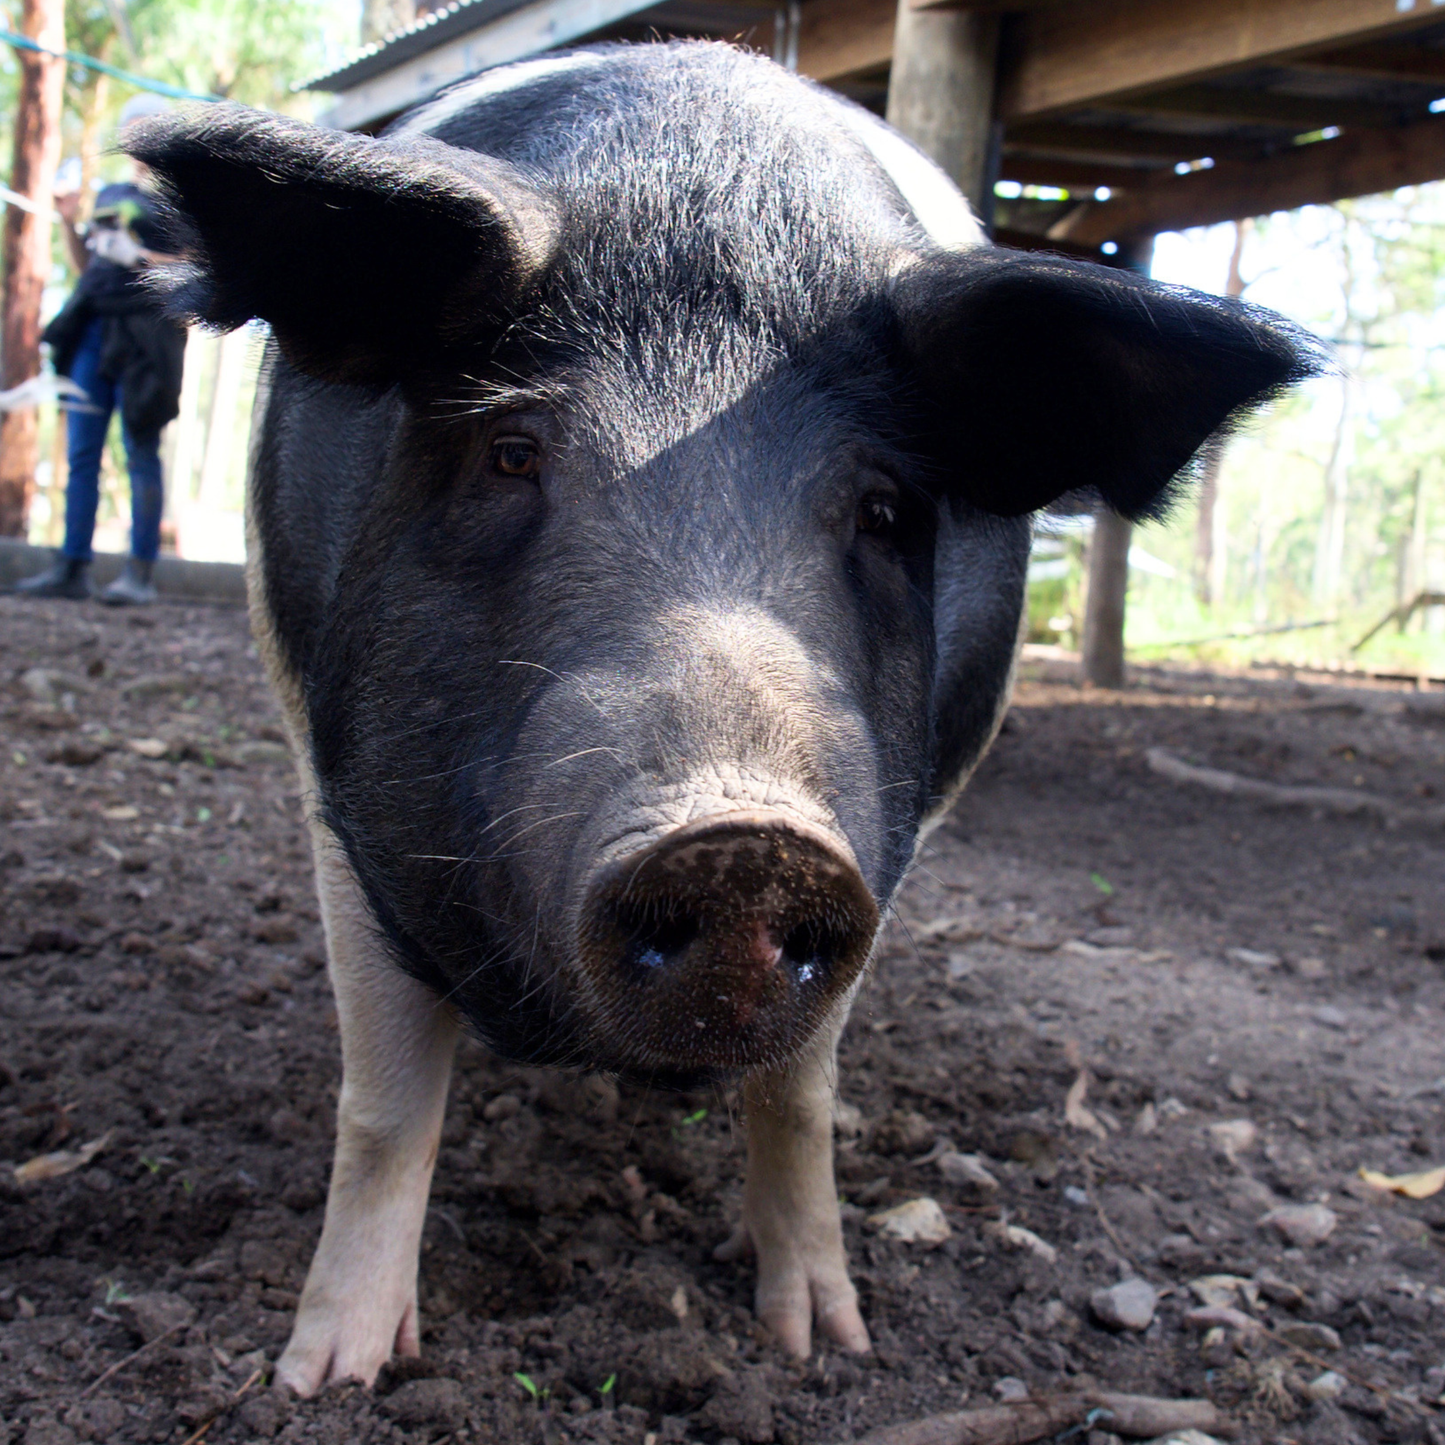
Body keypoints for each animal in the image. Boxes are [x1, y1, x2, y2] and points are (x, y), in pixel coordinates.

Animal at [126, 40, 1318, 1394]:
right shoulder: (334, 794)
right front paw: (327, 1376)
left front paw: (821, 1343)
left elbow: (797, 1097)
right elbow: (383, 1104)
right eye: (512, 451)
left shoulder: (882, 856)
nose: (742, 838)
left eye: (884, 509)